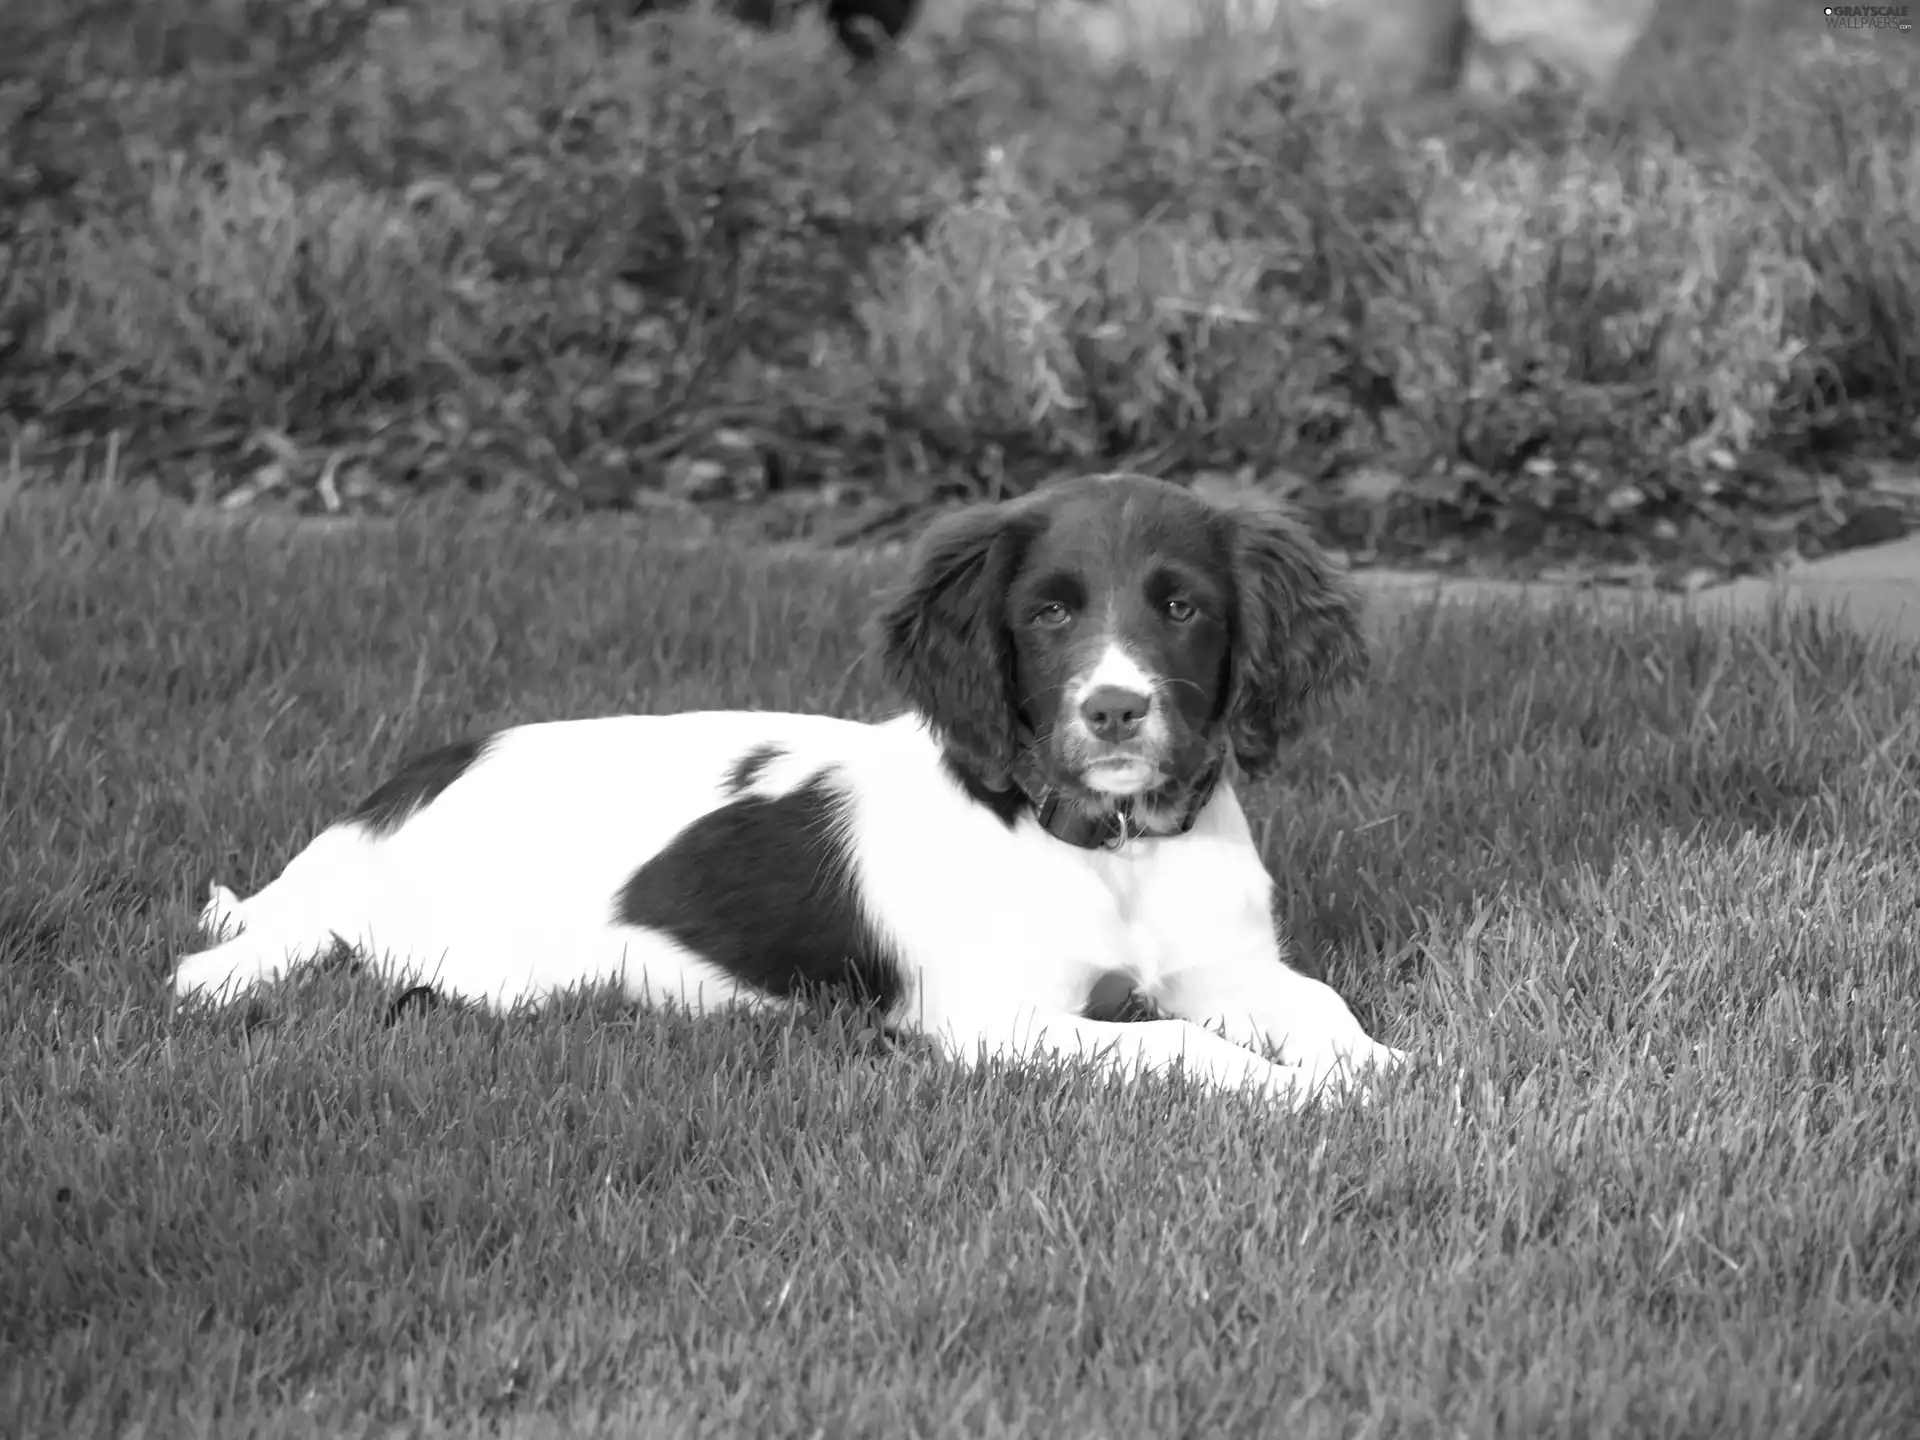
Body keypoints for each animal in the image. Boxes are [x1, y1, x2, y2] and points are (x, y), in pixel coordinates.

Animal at [176, 480, 1413, 1113]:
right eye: (1050, 612)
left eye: (1183, 608)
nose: (1114, 711)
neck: (1112, 851)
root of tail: (379, 813)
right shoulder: (988, 1017)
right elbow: (1176, 1045)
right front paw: (1291, 1093)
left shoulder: (1235, 966)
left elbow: (1322, 1011)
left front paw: (1374, 1072)